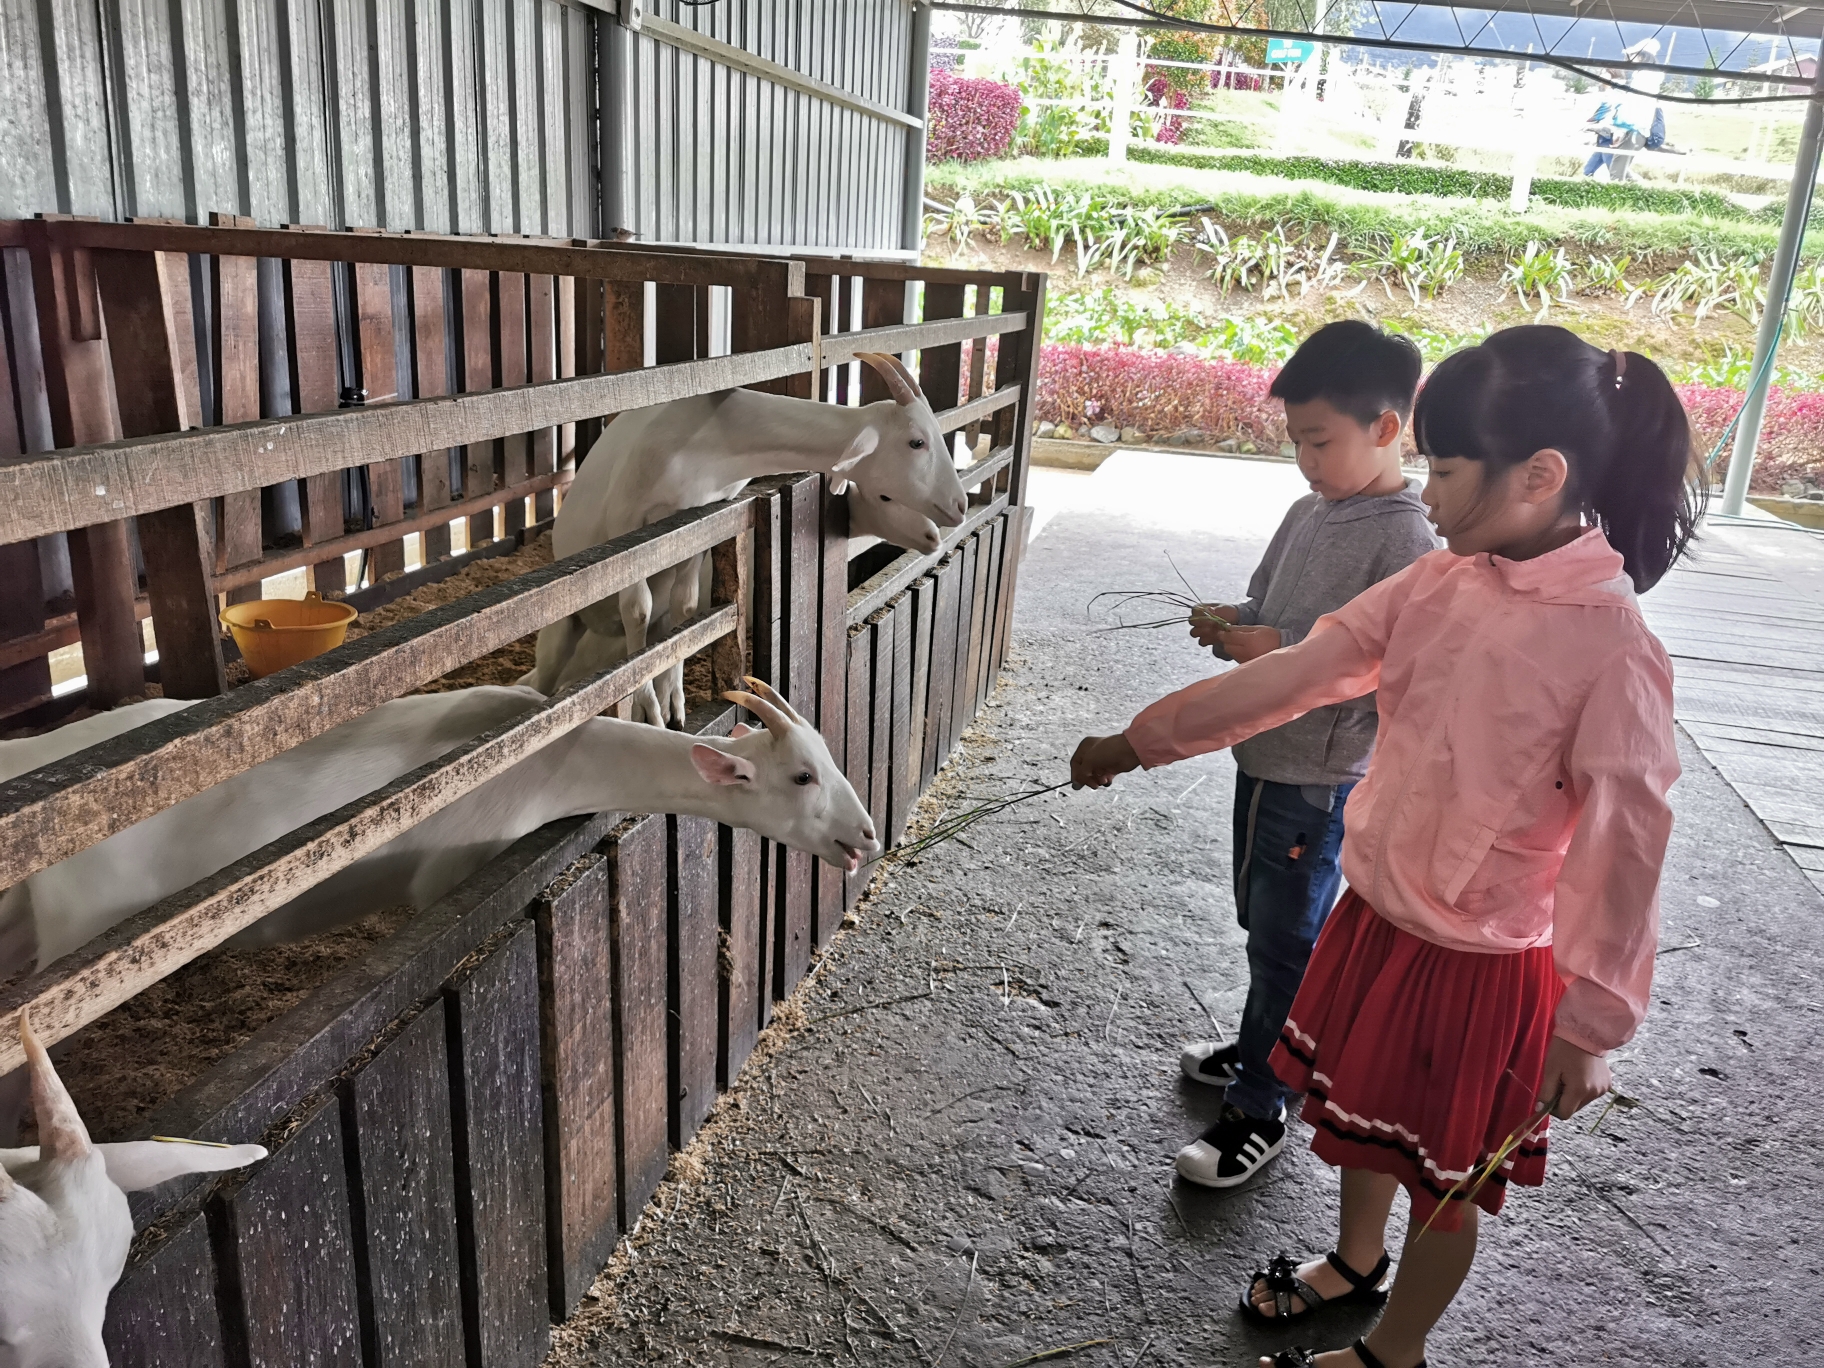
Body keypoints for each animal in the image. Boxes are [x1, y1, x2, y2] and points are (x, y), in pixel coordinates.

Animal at [528, 359, 970, 733]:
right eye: (916, 442)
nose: (960, 506)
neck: (711, 439)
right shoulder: (628, 525)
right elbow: (637, 610)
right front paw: (648, 708)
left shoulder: (699, 524)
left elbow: (687, 610)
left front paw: (675, 703)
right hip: (561, 633)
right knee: (546, 680)